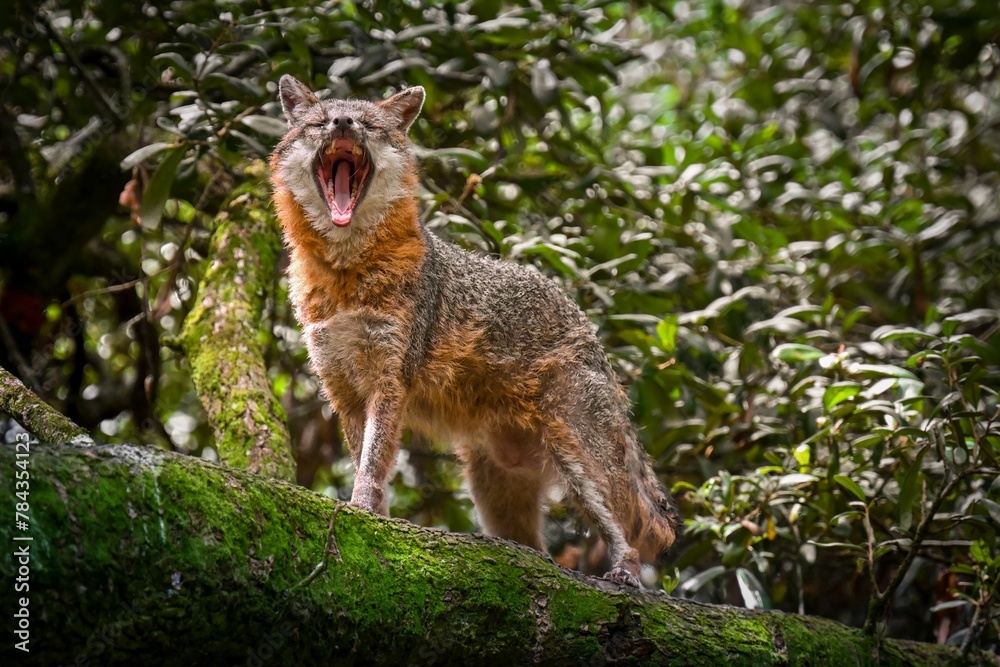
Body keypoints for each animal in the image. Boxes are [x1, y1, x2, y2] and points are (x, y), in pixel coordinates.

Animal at [269, 75, 679, 586]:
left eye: (367, 125)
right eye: (321, 123)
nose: (343, 123)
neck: (348, 276)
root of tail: (588, 329)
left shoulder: (390, 380)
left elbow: (372, 462)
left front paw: (362, 509)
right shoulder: (341, 387)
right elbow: (365, 457)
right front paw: (377, 518)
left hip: (577, 460)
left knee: (627, 535)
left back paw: (625, 573)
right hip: (497, 498)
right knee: (538, 548)